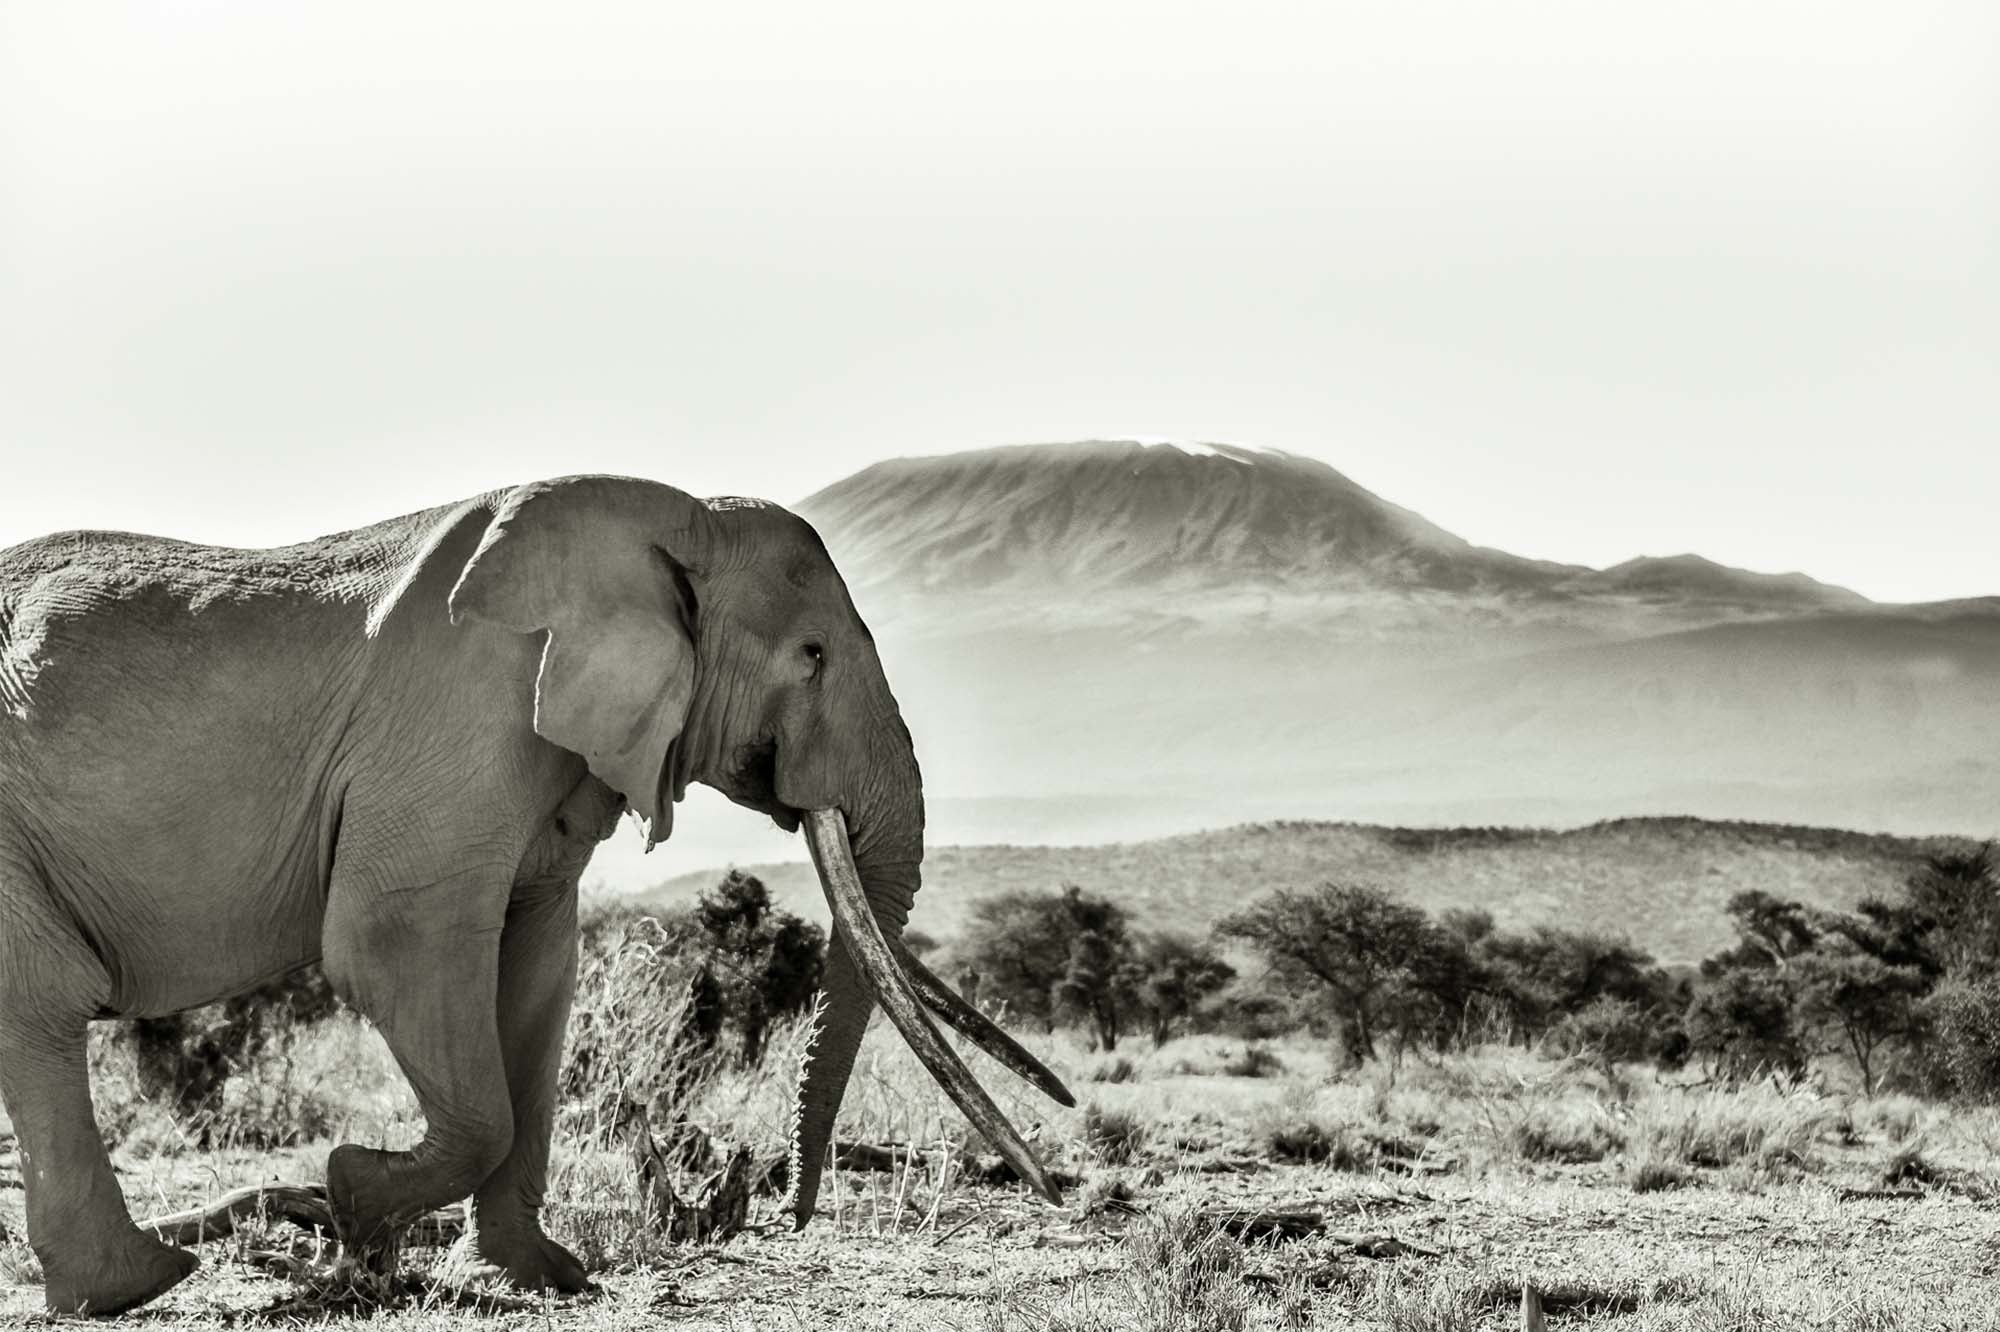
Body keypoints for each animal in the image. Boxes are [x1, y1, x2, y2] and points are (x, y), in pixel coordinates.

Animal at [0, 475, 1072, 1314]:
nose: (793, 1214)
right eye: (813, 655)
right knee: (42, 1004)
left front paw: (542, 1278)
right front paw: (351, 1199)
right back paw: (141, 1285)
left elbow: (537, 972)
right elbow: (396, 943)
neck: (670, 522)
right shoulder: (462, 725)